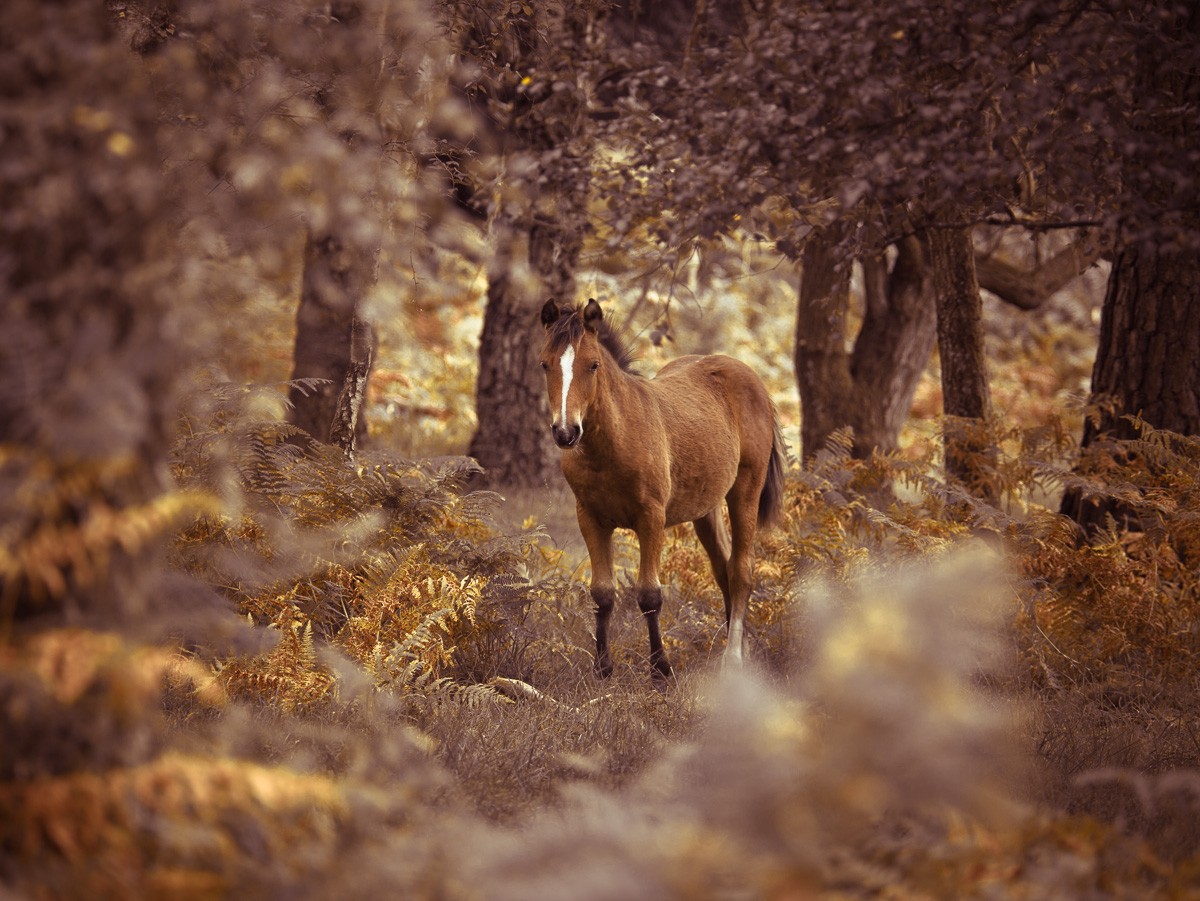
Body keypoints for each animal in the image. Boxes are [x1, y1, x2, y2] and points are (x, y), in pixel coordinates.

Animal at [542, 297, 787, 681]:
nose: (566, 432)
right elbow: (602, 593)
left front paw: (660, 670)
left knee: (741, 571)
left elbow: (649, 595)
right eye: (545, 364)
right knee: (723, 568)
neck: (614, 441)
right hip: (706, 508)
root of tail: (749, 378)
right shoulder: (590, 519)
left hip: (745, 489)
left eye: (592, 365)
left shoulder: (651, 518)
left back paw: (733, 659)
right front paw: (603, 669)